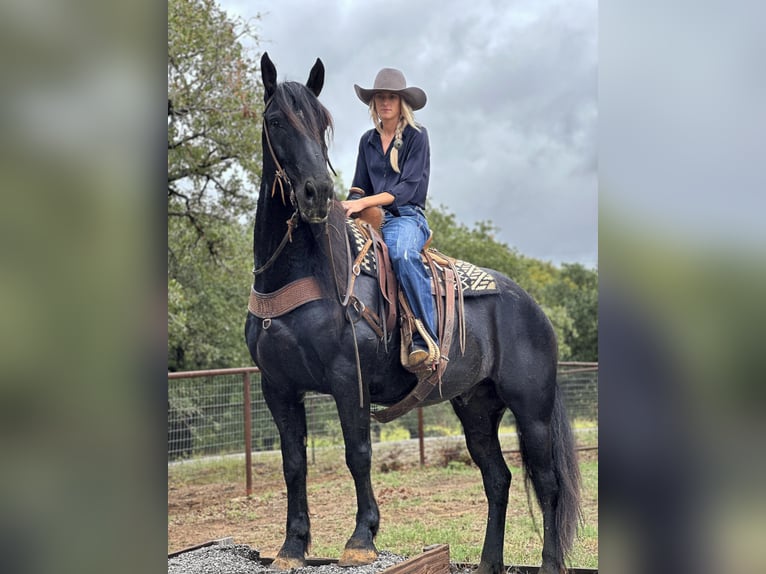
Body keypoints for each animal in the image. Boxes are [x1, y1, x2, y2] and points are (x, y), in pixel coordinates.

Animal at [246, 54, 584, 574]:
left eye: (323, 124)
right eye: (276, 120)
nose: (317, 192)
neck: (302, 273)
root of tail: (532, 306)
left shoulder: (349, 378)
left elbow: (358, 453)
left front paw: (361, 538)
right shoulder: (278, 388)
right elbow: (293, 463)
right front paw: (292, 547)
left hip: (533, 408)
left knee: (547, 483)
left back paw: (549, 564)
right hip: (476, 407)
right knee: (498, 479)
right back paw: (488, 563)